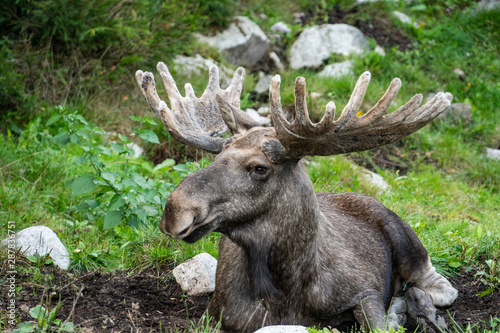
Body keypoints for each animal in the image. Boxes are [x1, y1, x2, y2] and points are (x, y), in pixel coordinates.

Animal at [136, 63, 458, 332]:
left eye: (259, 168)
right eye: (218, 156)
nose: (174, 210)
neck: (284, 285)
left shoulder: (364, 289)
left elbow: (379, 324)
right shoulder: (218, 316)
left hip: (405, 239)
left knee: (439, 285)